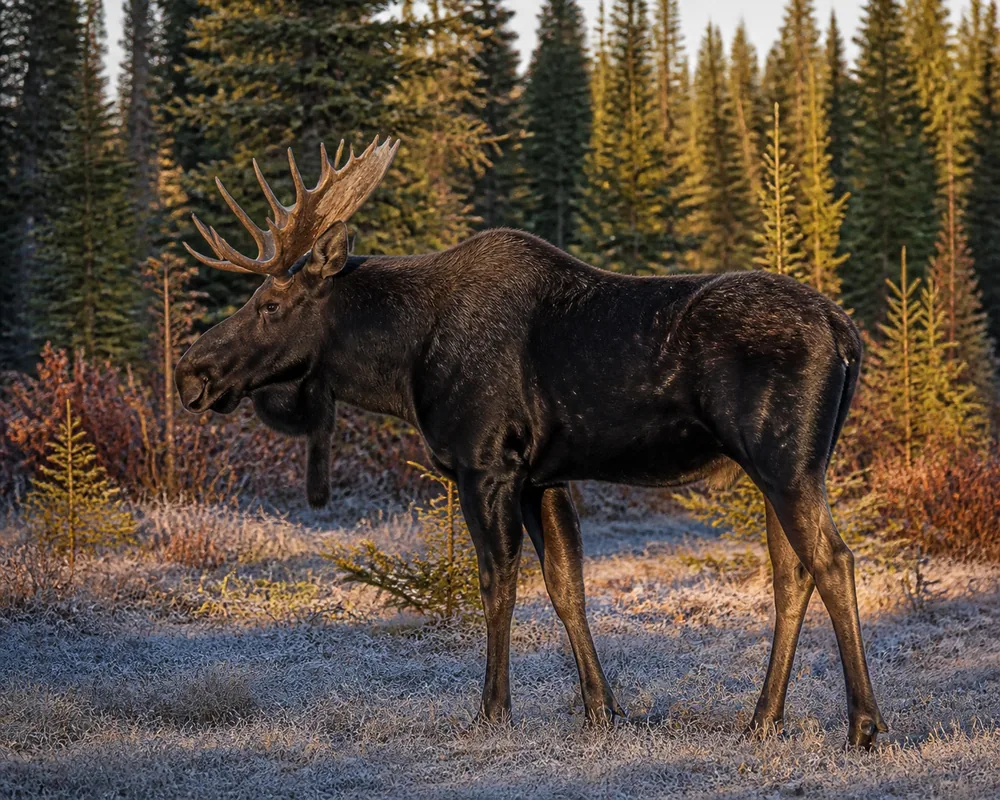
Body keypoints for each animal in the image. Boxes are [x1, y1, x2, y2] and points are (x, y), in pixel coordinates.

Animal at [175, 136, 887, 749]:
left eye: (270, 303)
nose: (190, 373)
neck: (402, 366)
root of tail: (845, 330)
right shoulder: (545, 475)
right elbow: (566, 585)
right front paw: (601, 711)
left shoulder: (488, 464)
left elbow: (498, 585)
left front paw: (492, 711)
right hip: (776, 467)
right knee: (792, 574)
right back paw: (762, 721)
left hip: (787, 460)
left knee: (833, 561)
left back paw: (863, 726)